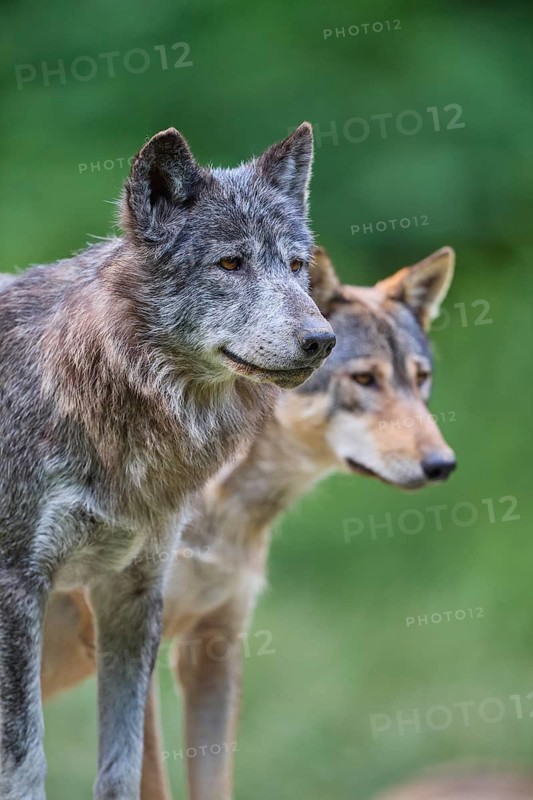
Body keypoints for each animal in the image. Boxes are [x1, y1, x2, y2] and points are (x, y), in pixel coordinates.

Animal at [0, 124, 335, 800]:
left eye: (296, 266)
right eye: (230, 264)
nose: (322, 340)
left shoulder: (133, 590)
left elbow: (122, 768)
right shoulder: (17, 588)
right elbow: (26, 766)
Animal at [40, 245, 456, 800]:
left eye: (420, 378)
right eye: (365, 379)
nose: (442, 465)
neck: (223, 505)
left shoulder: (216, 646)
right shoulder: (128, 645)